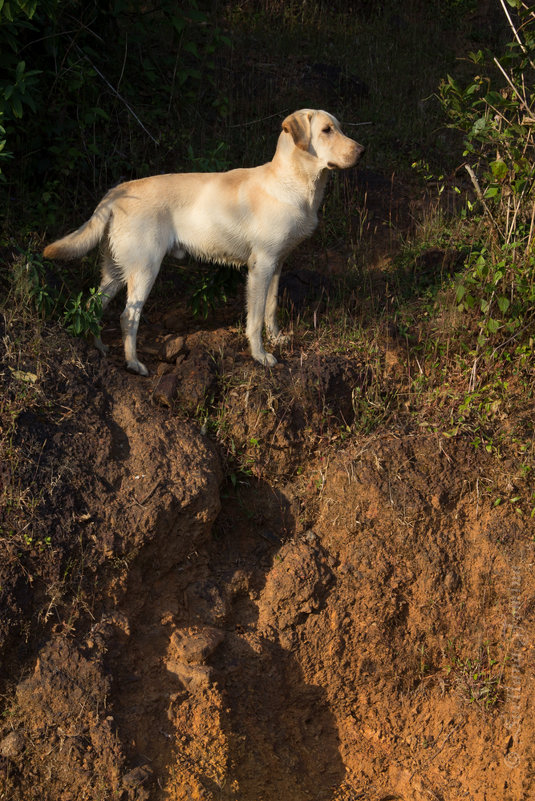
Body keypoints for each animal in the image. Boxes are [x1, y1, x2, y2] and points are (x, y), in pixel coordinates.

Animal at [44, 107, 366, 378]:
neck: (293, 183)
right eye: (326, 130)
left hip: (116, 270)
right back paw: (134, 364)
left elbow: (271, 308)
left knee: (92, 305)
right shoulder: (261, 266)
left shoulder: (277, 264)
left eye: (338, 127)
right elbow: (255, 317)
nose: (363, 151)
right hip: (144, 269)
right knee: (127, 316)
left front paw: (277, 338)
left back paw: (98, 347)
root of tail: (116, 191)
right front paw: (260, 355)